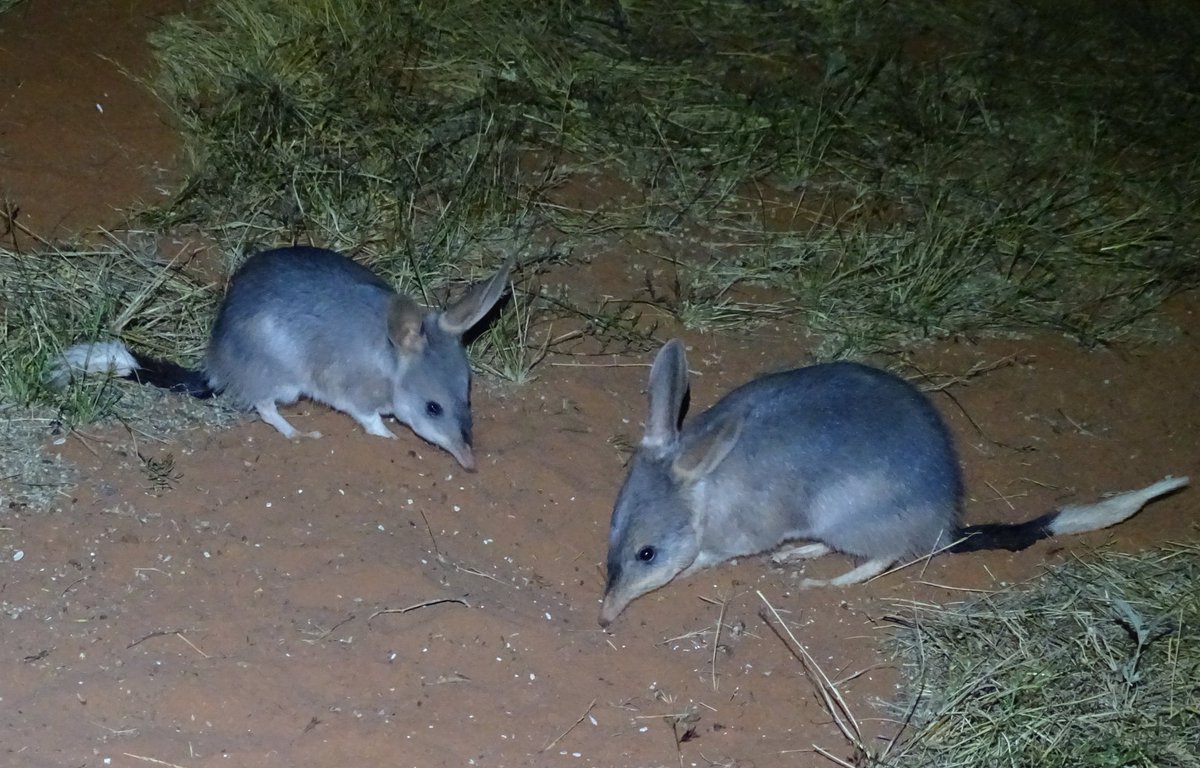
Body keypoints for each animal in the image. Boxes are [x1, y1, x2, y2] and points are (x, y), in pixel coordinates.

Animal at [52, 246, 513, 470]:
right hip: (284, 378)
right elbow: (370, 420)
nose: (470, 463)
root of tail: (218, 368)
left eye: (468, 397)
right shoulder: (353, 395)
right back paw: (298, 434)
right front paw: (389, 435)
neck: (389, 358)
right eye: (433, 408)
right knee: (264, 406)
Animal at [599, 339, 1189, 627]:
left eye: (647, 554)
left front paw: (691, 565)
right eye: (611, 537)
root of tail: (945, 530)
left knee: (883, 557)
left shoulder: (741, 534)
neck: (706, 486)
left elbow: (705, 556)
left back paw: (824, 582)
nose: (605, 619)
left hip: (845, 513)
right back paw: (801, 555)